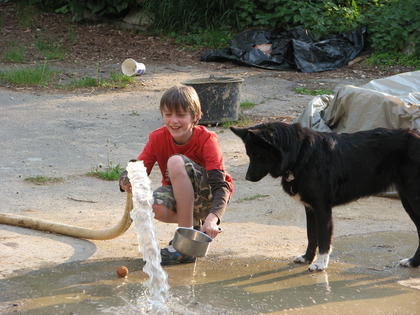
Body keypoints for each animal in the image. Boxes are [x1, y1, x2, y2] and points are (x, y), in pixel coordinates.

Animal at [231, 123, 420, 272]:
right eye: (249, 155)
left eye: (258, 155)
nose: (247, 178)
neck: (300, 155)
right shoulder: (310, 208)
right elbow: (311, 235)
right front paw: (307, 258)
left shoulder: (322, 208)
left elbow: (323, 237)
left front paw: (320, 264)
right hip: (407, 201)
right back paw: (413, 262)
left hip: (413, 199)